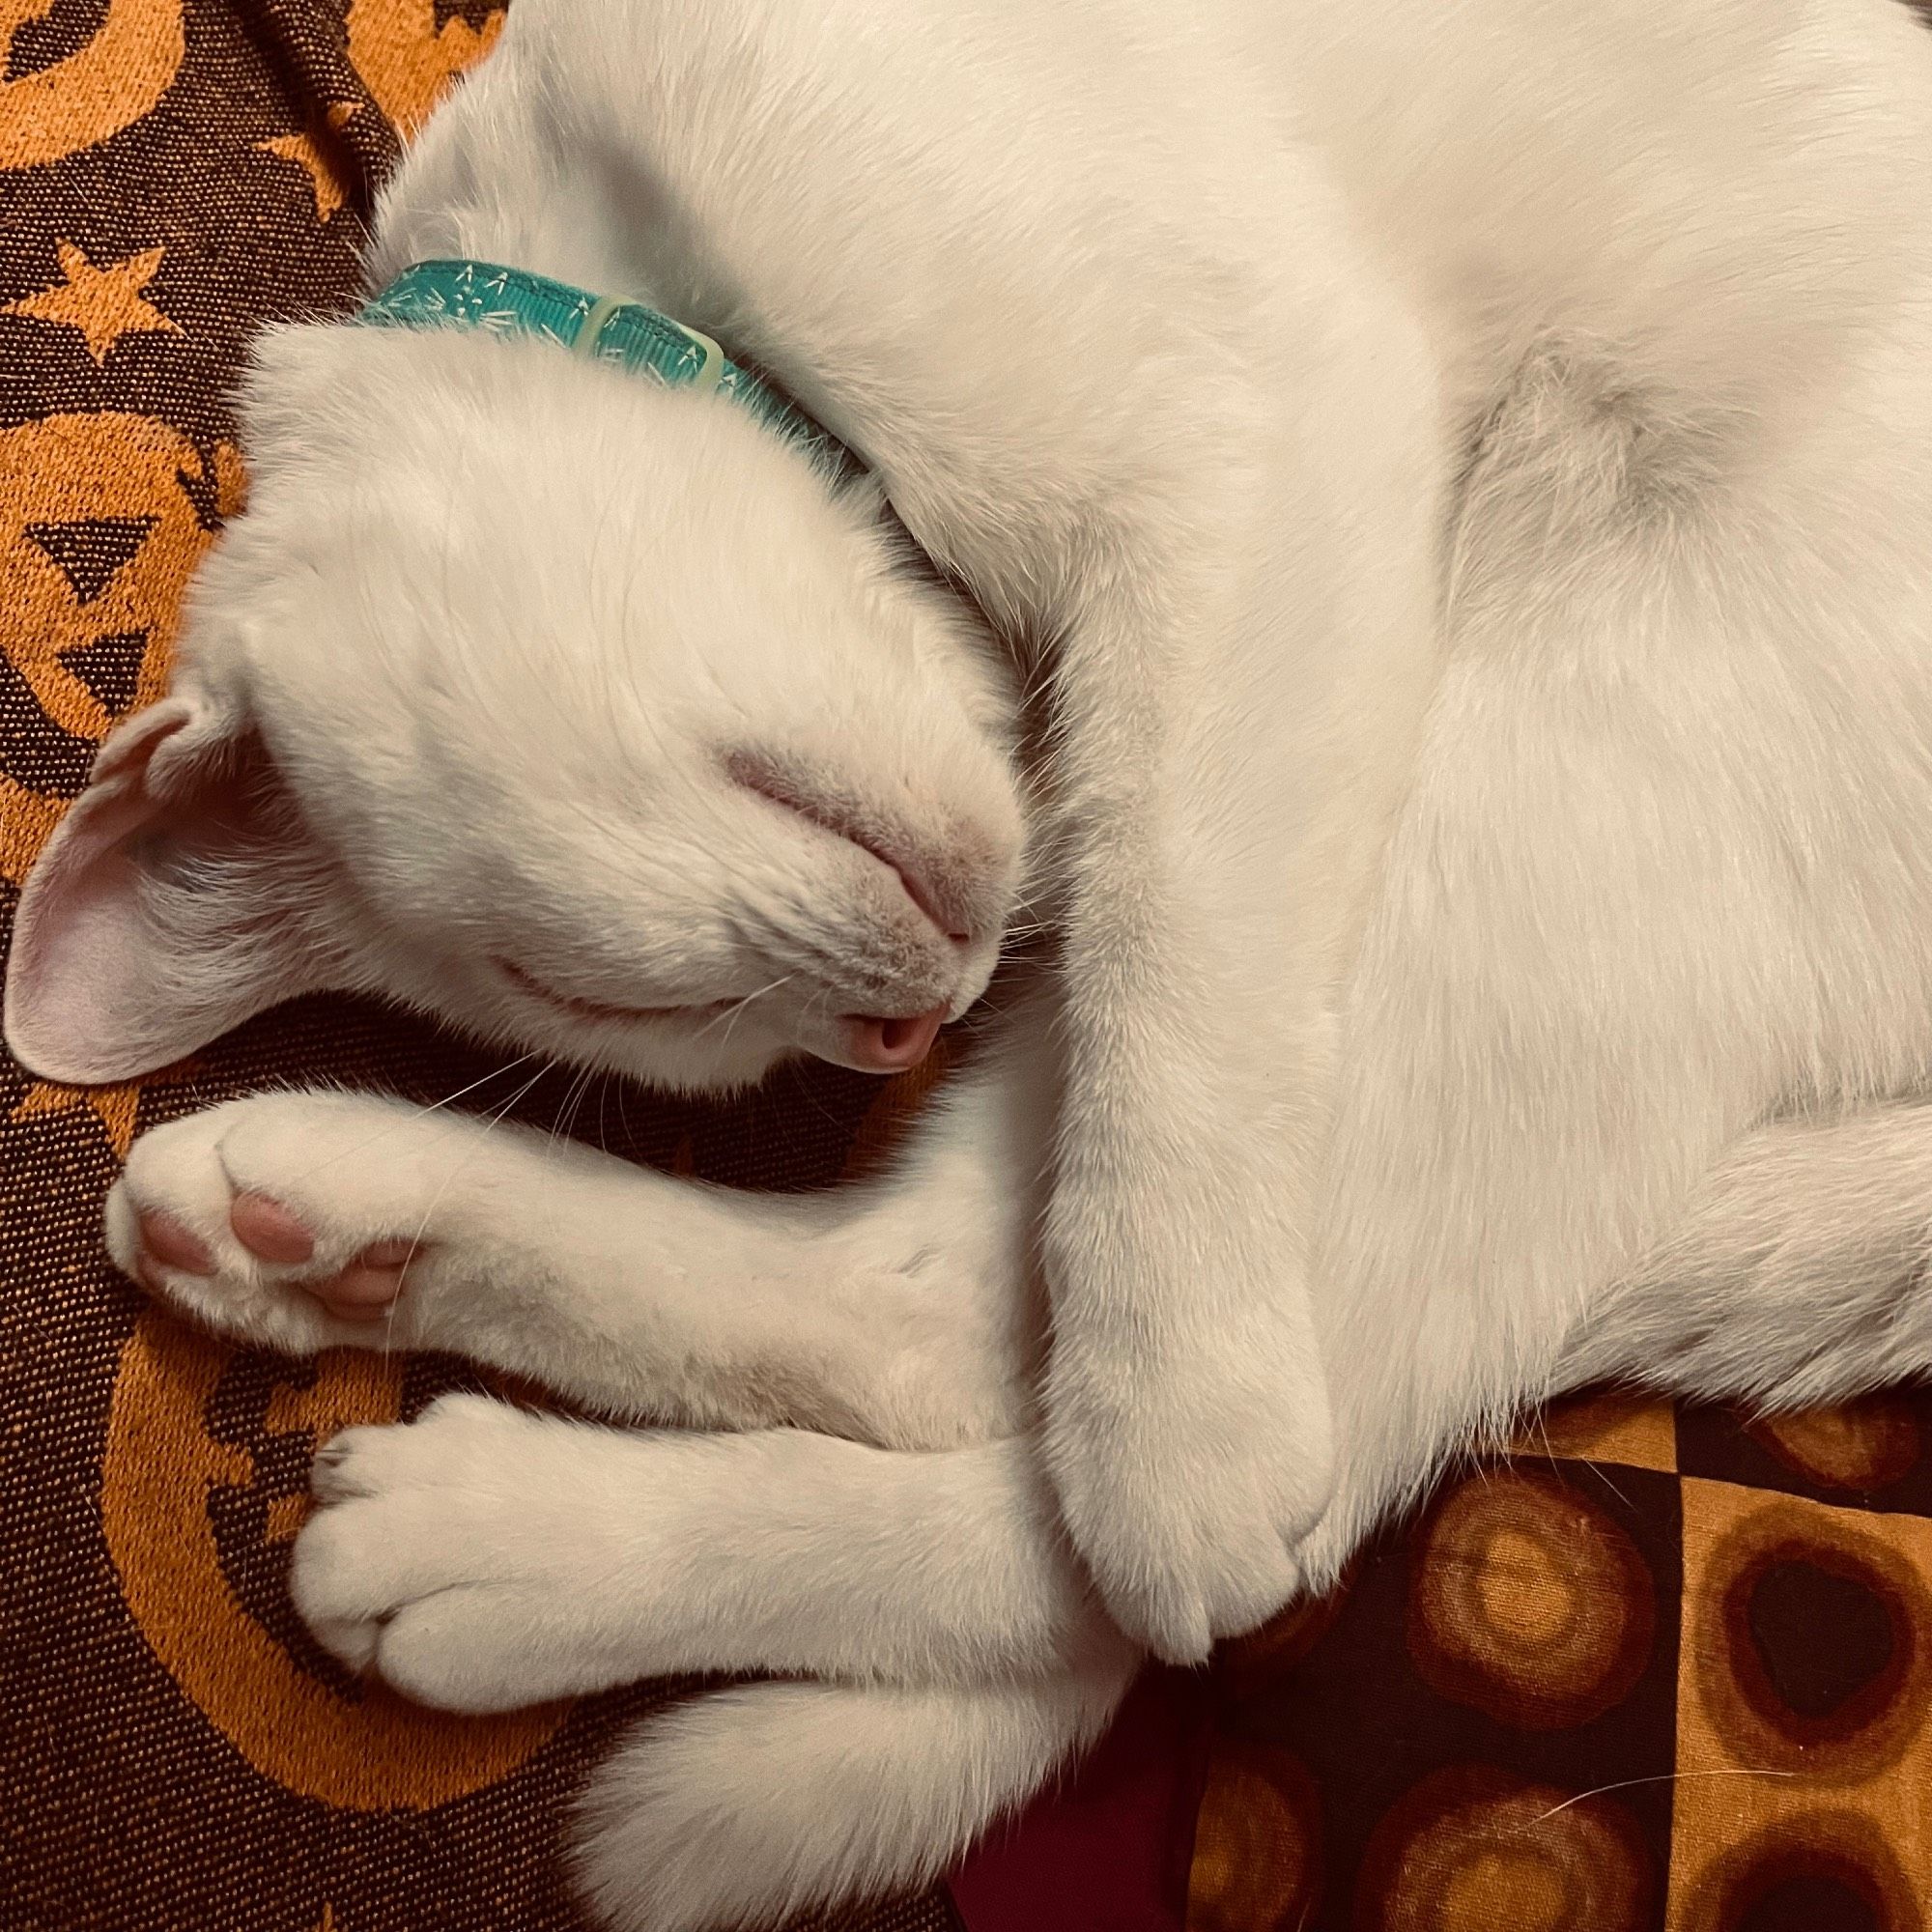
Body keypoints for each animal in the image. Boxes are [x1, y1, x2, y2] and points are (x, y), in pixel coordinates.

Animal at [18, 0, 1932, 1924]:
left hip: (1547, 776)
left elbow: (1177, 978)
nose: (901, 1029)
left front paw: (1179, 1427)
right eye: (671, 1025)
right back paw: (334, 1268)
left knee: (1100, 1486)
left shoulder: (1260, 438)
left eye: (614, 998)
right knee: (936, 1321)